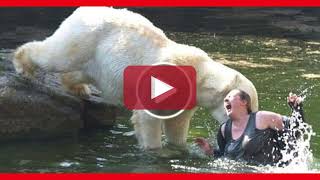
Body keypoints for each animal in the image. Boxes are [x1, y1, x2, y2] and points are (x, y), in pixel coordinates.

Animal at [11, 7, 258, 150]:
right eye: (248, 107)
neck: (197, 73)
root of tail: (82, 9)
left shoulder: (185, 100)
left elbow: (176, 124)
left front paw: (179, 148)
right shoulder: (162, 81)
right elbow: (147, 119)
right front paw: (154, 151)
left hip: (96, 57)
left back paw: (79, 88)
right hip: (85, 37)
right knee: (57, 55)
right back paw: (23, 66)